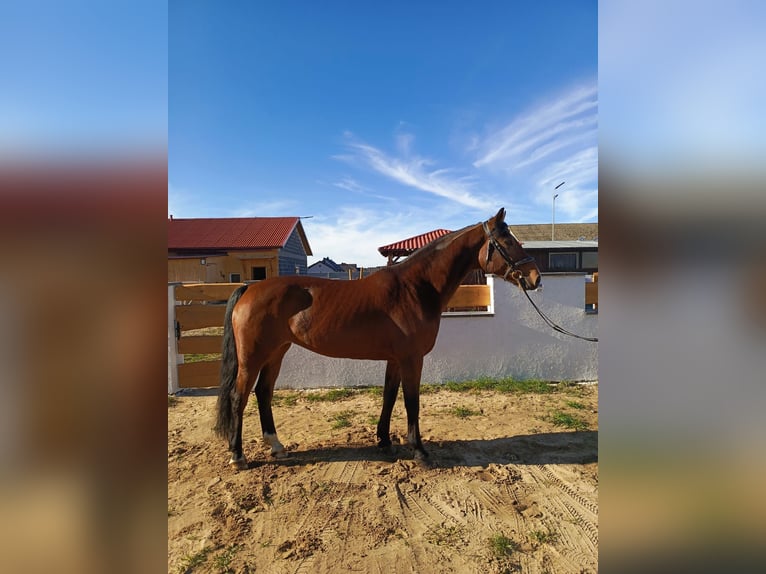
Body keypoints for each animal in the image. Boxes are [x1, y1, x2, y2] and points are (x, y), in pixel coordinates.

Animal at [213, 209, 544, 470]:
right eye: (507, 242)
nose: (535, 277)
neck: (414, 288)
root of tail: (250, 288)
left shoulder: (395, 359)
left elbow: (389, 396)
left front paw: (384, 440)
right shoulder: (412, 359)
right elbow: (411, 402)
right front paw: (419, 452)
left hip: (276, 352)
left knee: (263, 393)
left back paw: (276, 446)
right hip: (253, 357)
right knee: (239, 397)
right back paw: (238, 456)